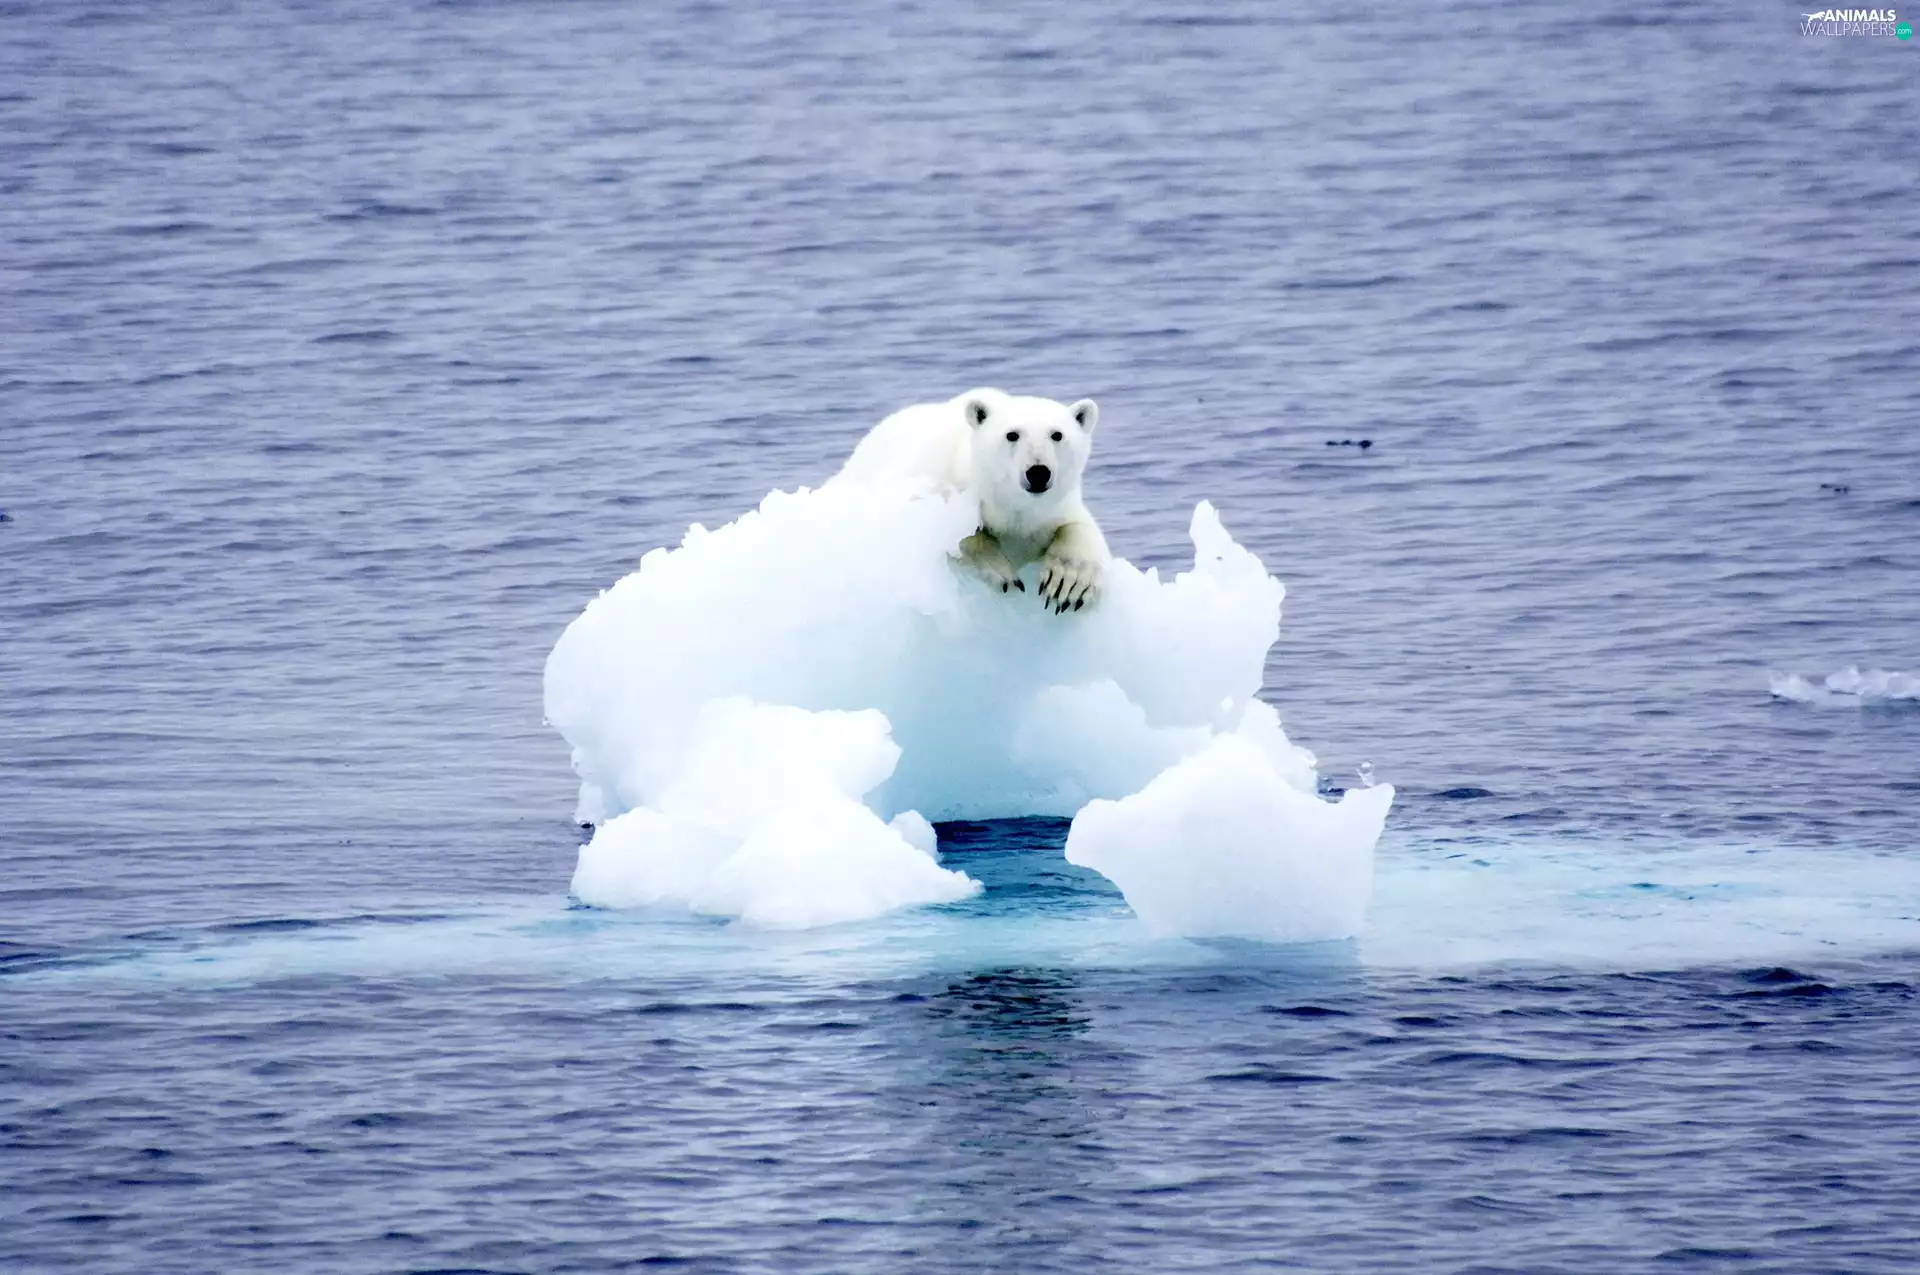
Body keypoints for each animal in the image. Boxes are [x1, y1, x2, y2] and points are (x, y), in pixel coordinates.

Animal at [833, 388, 1110, 613]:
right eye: (1012, 434)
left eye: (1057, 435)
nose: (1038, 472)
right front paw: (1001, 572)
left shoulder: (1054, 509)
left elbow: (1079, 528)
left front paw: (1069, 584)